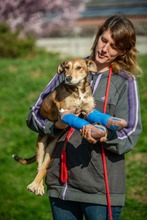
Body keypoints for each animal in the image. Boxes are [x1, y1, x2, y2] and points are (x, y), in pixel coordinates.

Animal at [13, 58, 100, 196]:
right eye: (66, 68)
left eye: (79, 68)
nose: (68, 78)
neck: (78, 90)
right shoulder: (65, 110)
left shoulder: (89, 108)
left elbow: (92, 116)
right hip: (41, 145)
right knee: (40, 167)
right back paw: (36, 186)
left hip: (52, 147)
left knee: (44, 166)